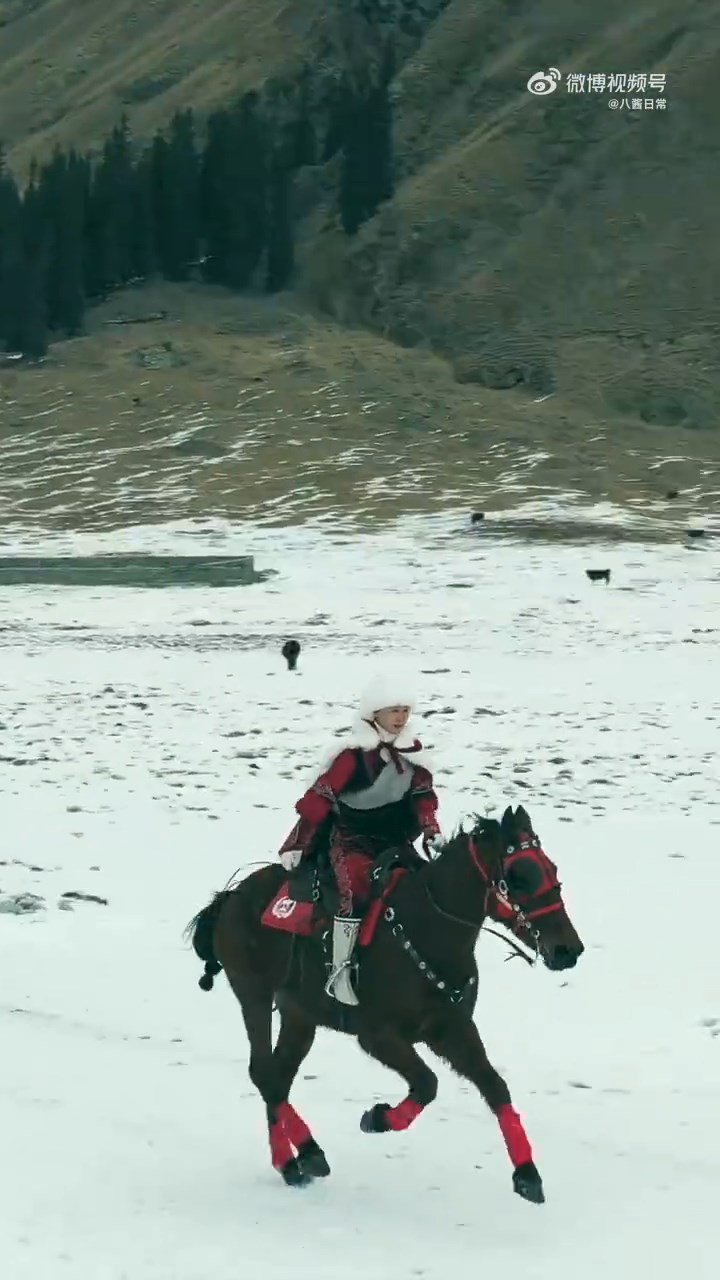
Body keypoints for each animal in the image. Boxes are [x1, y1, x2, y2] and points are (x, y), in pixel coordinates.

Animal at [186, 804, 584, 1203]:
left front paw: (527, 1174)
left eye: (552, 870)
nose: (569, 949)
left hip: (299, 1014)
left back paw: (302, 1160)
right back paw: (298, 1157)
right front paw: (377, 1118)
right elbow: (426, 1083)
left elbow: (494, 1085)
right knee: (263, 1072)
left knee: (279, 1076)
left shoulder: (451, 1029)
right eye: (519, 877)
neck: (425, 929)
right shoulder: (378, 1036)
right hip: (253, 993)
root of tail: (228, 897)